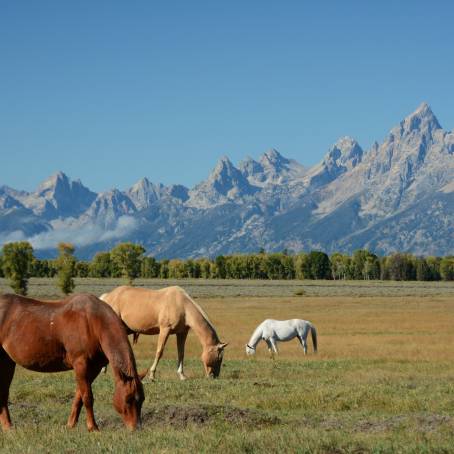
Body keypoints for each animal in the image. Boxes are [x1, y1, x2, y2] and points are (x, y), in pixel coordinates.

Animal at [0, 292, 145, 430]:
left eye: (142, 399)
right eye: (128, 399)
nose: (136, 427)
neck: (93, 322)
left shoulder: (94, 368)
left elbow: (78, 396)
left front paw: (71, 424)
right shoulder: (81, 364)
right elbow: (87, 397)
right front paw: (93, 427)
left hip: (8, 362)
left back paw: (8, 426)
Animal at [99, 288, 227, 380]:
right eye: (219, 358)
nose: (214, 376)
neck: (182, 305)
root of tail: (107, 296)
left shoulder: (181, 333)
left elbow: (181, 353)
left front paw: (181, 375)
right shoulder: (165, 330)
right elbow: (159, 352)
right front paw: (152, 375)